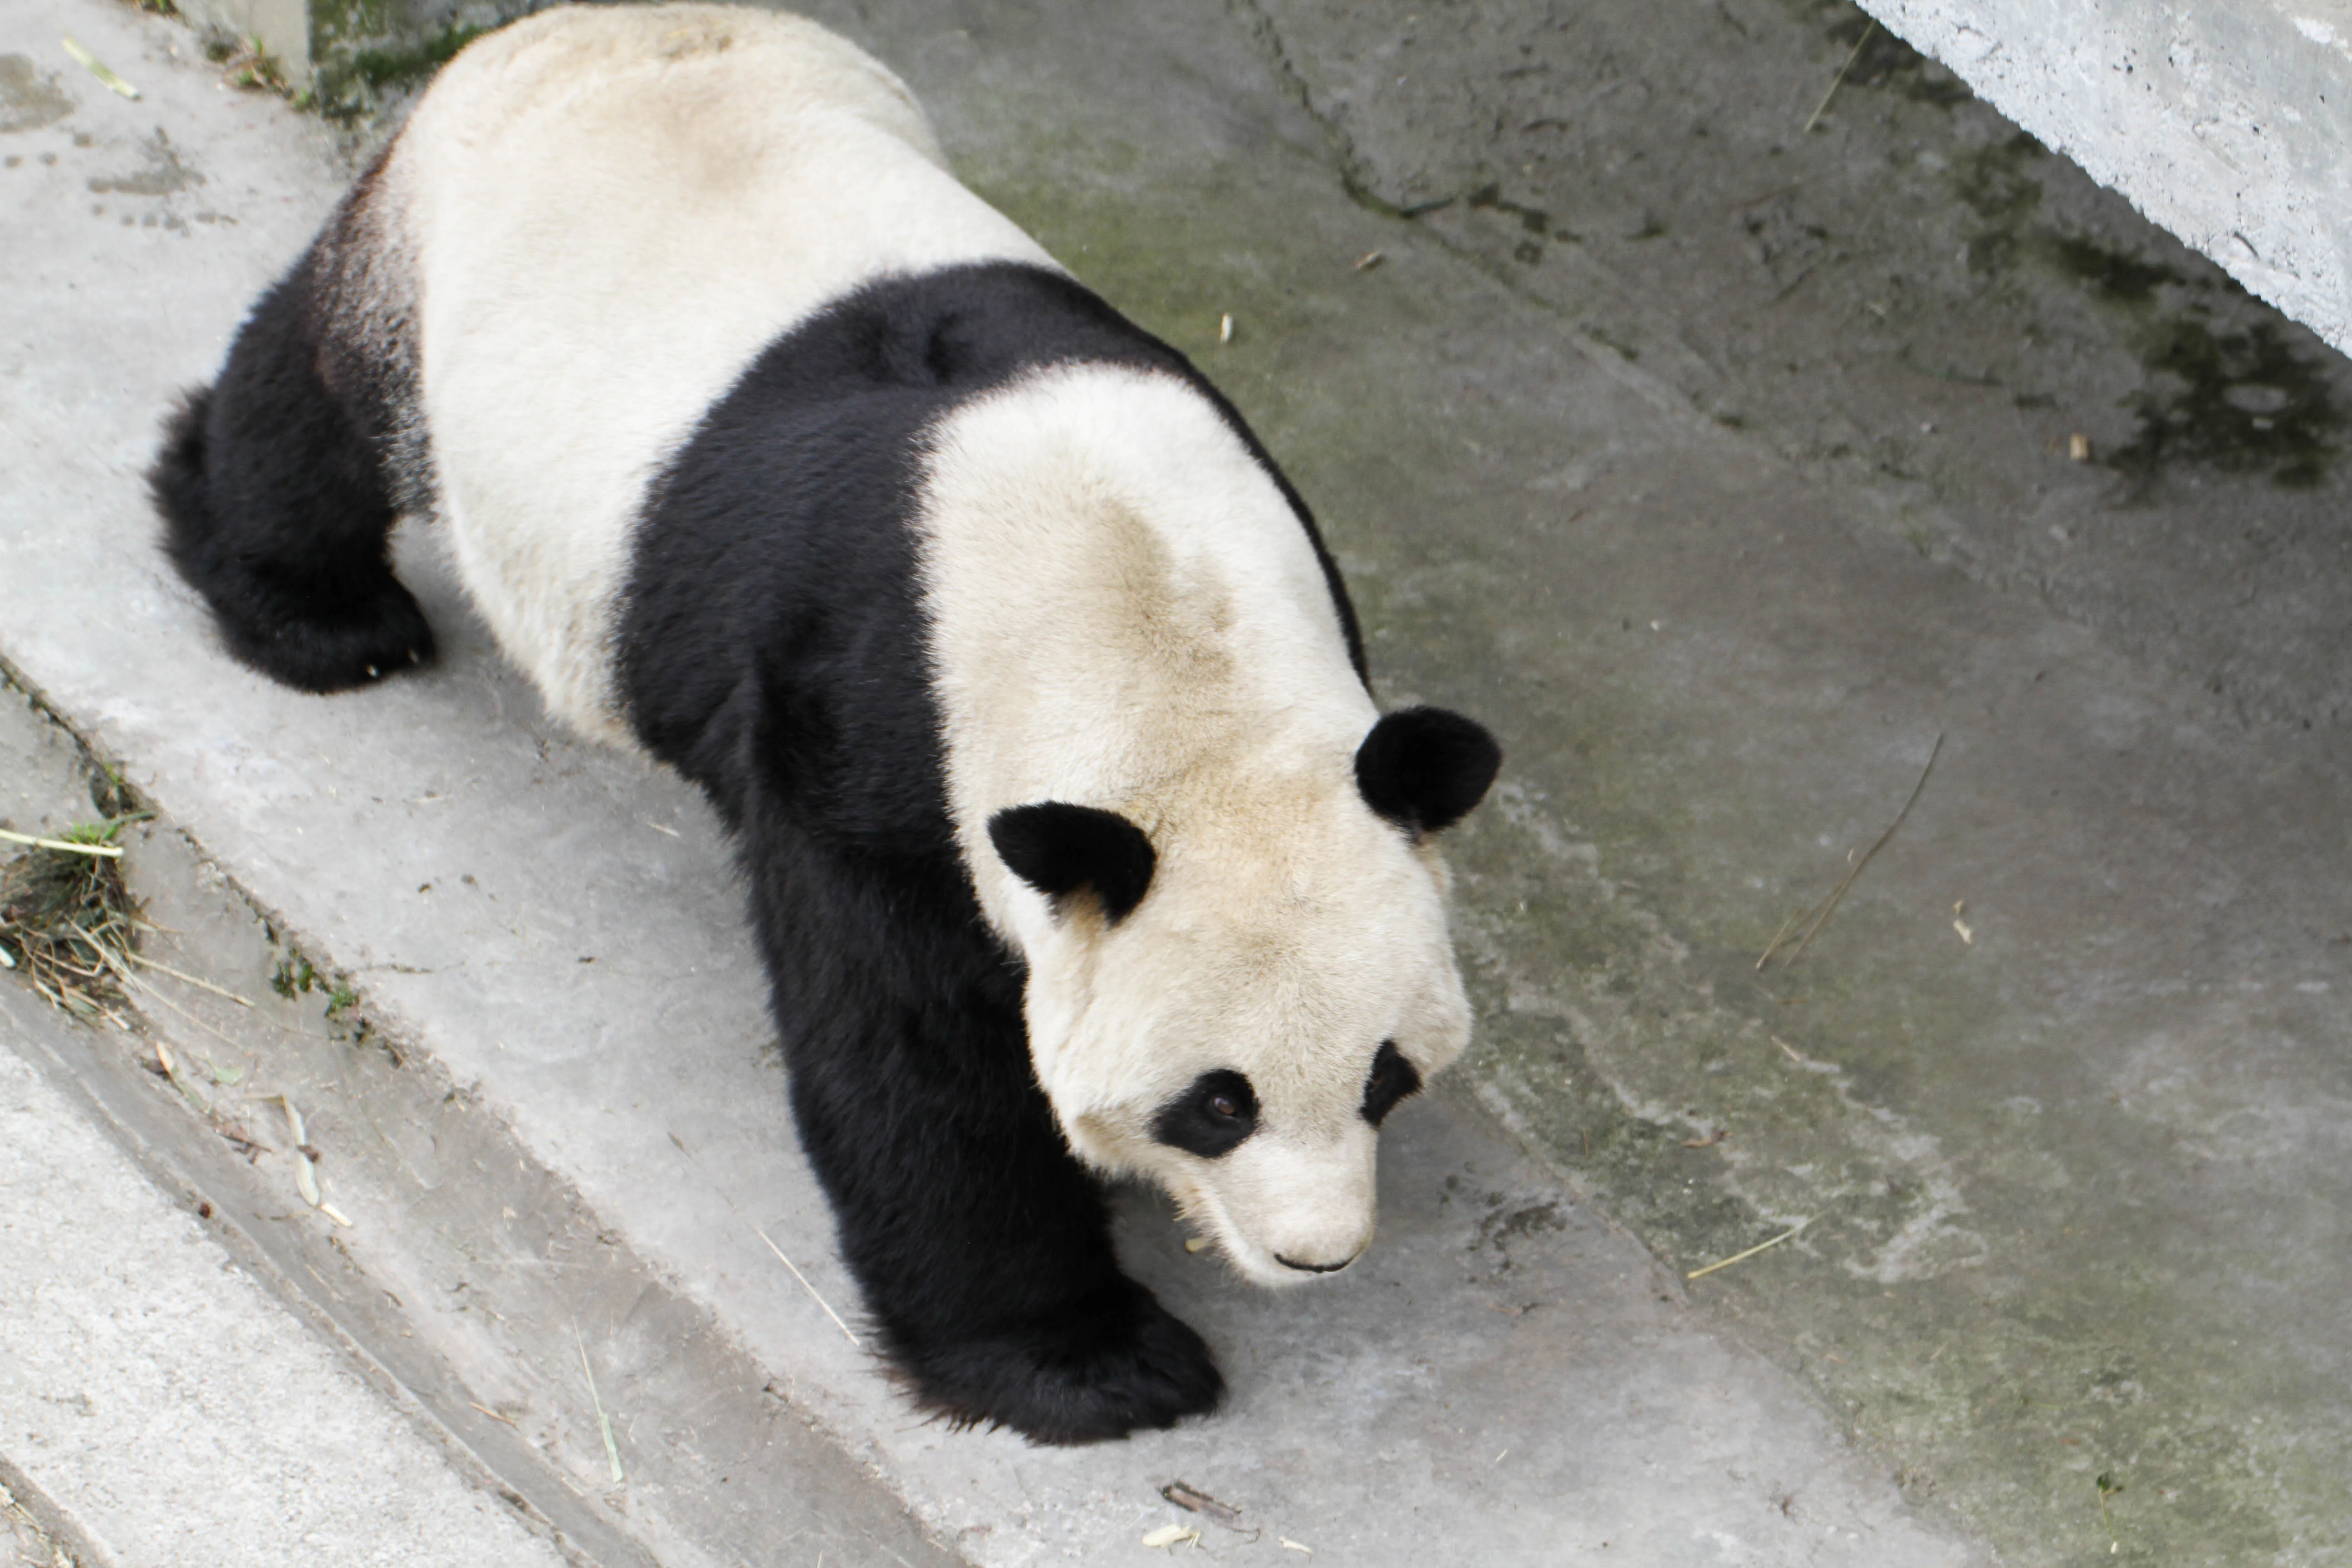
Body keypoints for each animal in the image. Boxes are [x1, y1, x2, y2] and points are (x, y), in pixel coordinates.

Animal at [151, 3, 1501, 1443]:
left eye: (1384, 1076)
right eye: (1217, 1104)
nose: (1317, 1253)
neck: (1156, 619)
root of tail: (580, 23)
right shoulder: (876, 729)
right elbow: (911, 1050)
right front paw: (1087, 1362)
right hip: (433, 266)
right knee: (319, 406)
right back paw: (307, 608)